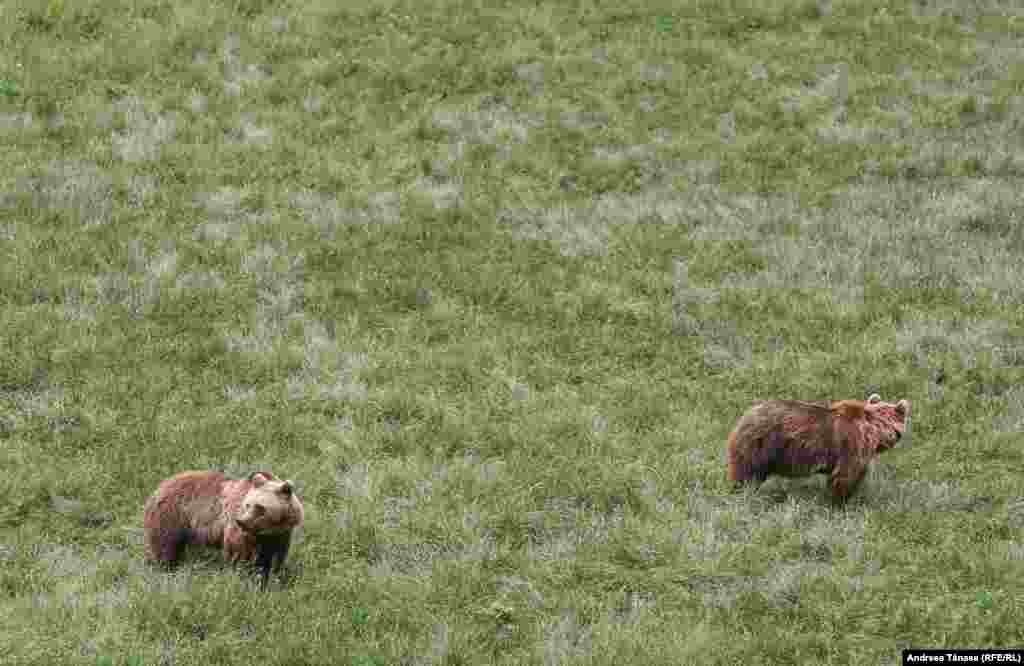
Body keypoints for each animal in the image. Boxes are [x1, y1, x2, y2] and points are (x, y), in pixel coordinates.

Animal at [144, 467, 303, 586]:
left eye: (260, 507)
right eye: (247, 505)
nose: (241, 521)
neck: (268, 529)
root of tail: (162, 485)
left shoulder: (280, 534)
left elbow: (275, 555)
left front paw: (272, 574)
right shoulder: (240, 529)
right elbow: (238, 550)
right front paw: (244, 573)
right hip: (172, 516)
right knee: (165, 545)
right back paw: (165, 567)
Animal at [729, 391, 913, 500]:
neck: (874, 430)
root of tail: (746, 415)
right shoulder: (851, 445)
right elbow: (845, 476)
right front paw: (841, 501)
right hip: (760, 444)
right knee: (747, 473)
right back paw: (743, 492)